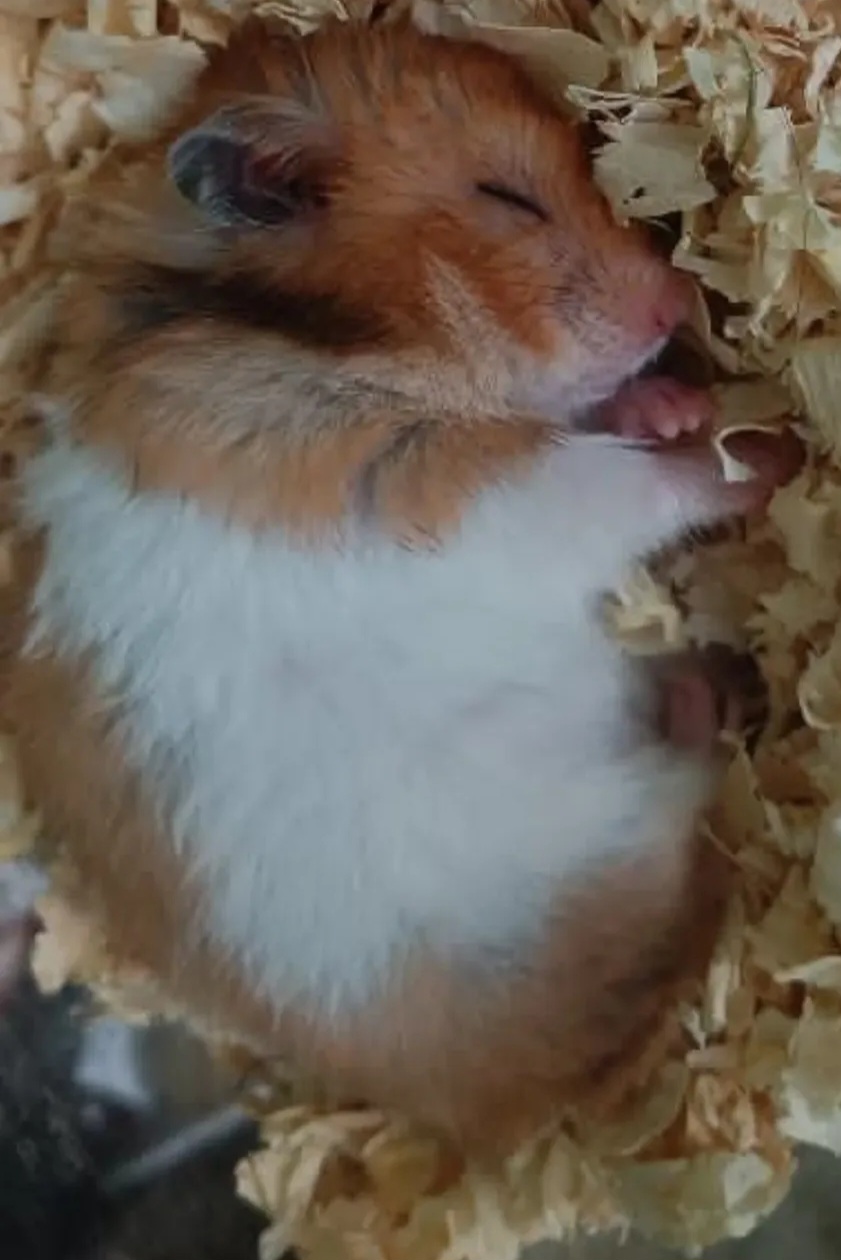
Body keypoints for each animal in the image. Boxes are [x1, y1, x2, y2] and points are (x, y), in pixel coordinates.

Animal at [2, 17, 800, 1154]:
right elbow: (639, 486)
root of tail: (506, 1110)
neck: (302, 336)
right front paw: (770, 448)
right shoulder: (452, 489)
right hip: (601, 841)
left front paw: (676, 405)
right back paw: (711, 692)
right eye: (504, 197)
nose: (668, 308)